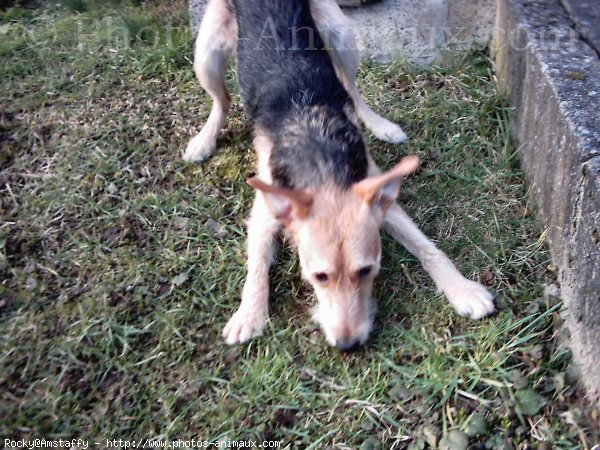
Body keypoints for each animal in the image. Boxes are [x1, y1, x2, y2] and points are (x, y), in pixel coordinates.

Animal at [185, 0, 494, 352]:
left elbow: (428, 246)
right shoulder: (265, 213)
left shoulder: (377, 195)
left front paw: (462, 288)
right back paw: (205, 139)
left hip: (341, 33)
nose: (349, 345)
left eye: (367, 270)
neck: (321, 161)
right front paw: (250, 312)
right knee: (221, 99)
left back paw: (381, 125)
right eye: (319, 277)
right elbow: (257, 266)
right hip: (207, 52)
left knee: (351, 88)